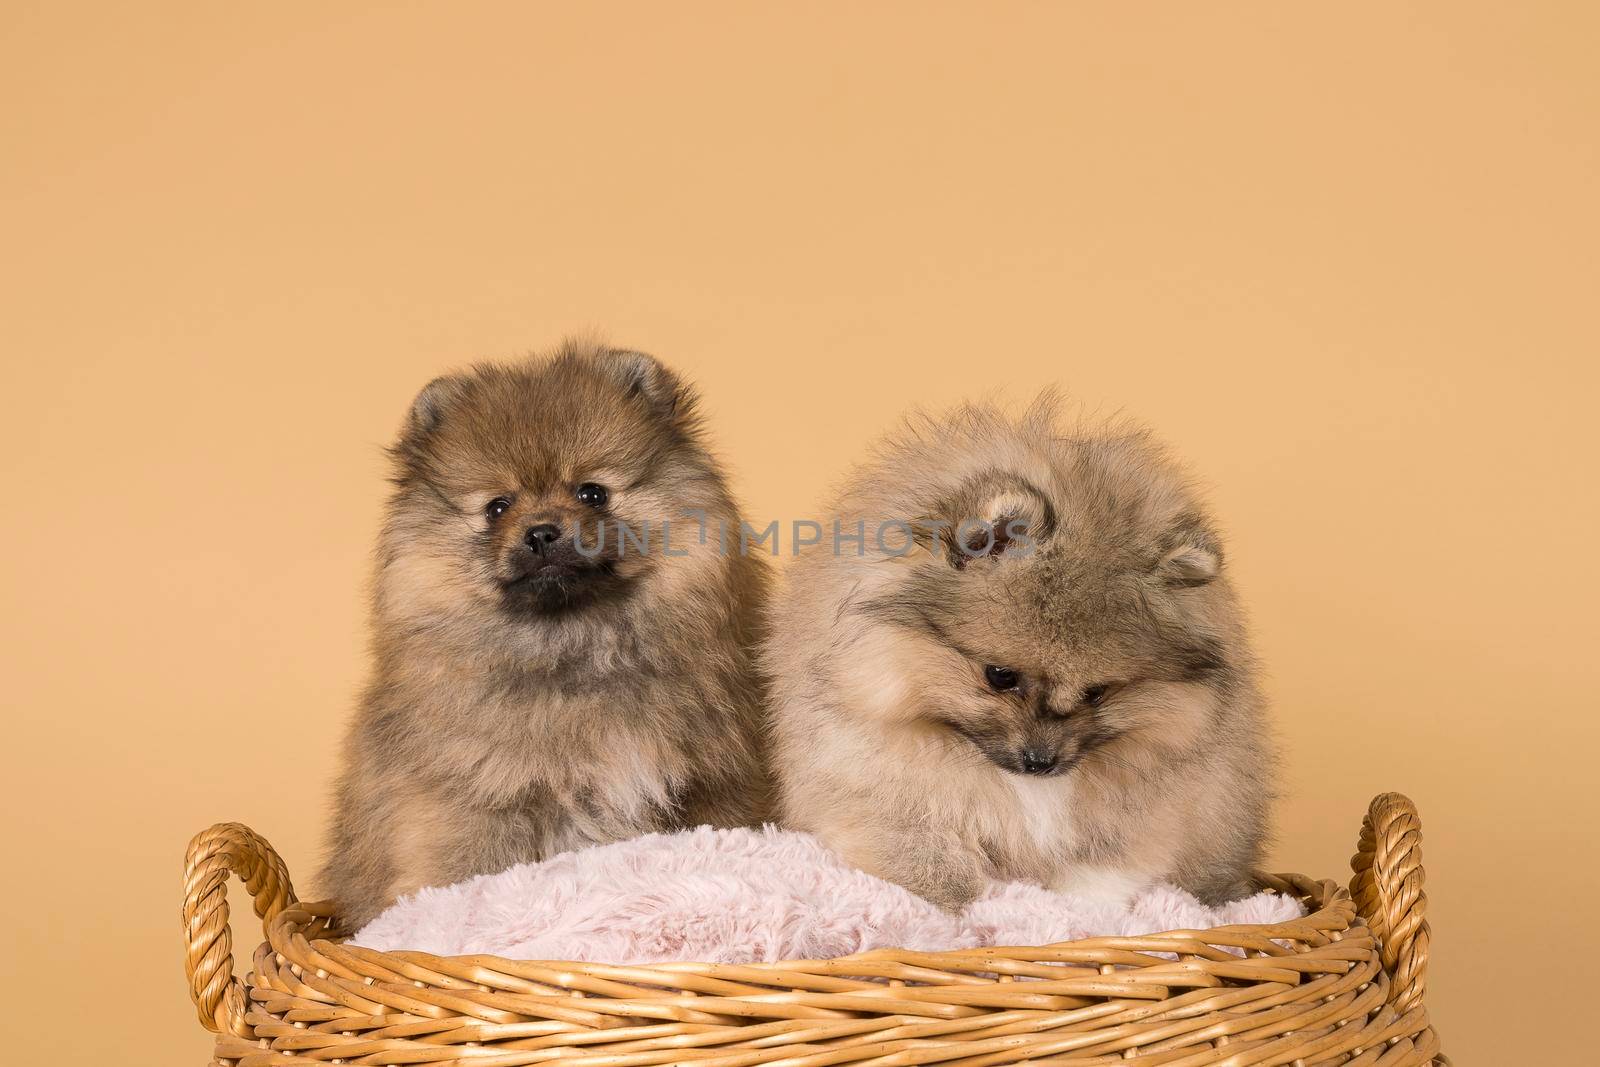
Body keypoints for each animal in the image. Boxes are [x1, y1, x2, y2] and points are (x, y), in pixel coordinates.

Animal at [321, 340, 771, 927]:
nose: (540, 533)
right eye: (497, 507)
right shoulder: (473, 803)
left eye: (592, 493)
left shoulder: (712, 785)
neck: (573, 650)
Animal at [768, 398, 1267, 908]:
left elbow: (1100, 877)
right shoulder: (872, 785)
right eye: (1000, 675)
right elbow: (923, 857)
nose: (1040, 762)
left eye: (1097, 693)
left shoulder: (1151, 813)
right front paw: (954, 904)